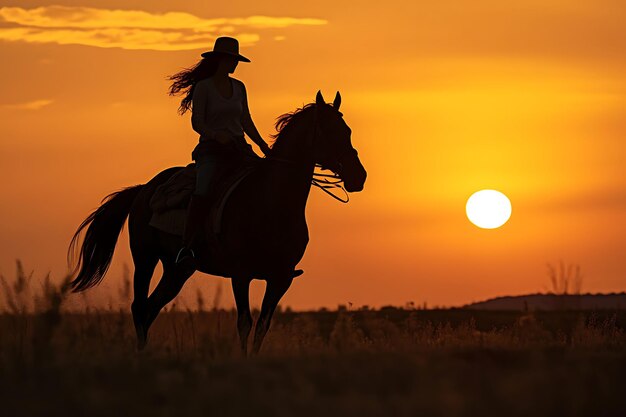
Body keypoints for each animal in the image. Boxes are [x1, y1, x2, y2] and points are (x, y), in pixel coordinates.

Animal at [64, 89, 366, 352]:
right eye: (330, 132)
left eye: (348, 131)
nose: (358, 176)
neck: (271, 202)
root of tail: (143, 190)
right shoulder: (241, 274)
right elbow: (244, 323)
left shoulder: (280, 278)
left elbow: (262, 326)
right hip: (145, 258)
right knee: (139, 307)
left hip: (177, 270)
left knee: (151, 307)